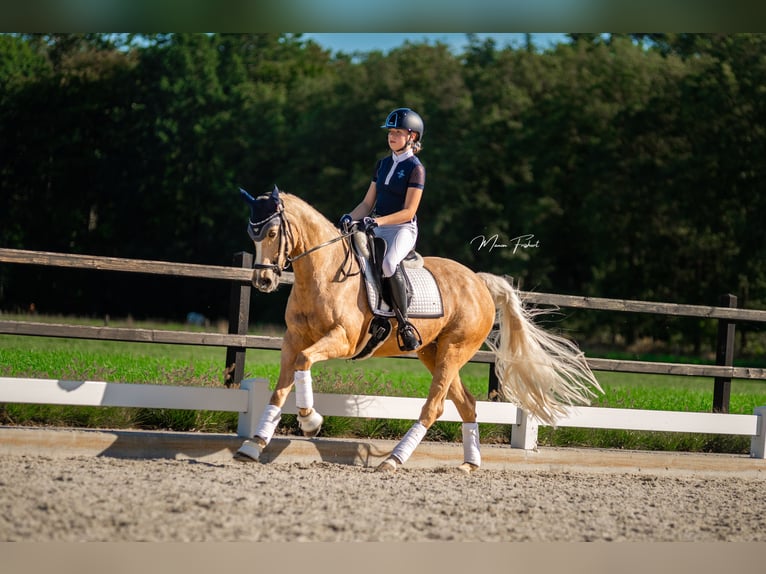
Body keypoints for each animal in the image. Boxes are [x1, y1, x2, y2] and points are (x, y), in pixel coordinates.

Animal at [237, 187, 604, 474]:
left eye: (272, 234)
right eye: (252, 235)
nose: (263, 281)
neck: (322, 272)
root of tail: (479, 281)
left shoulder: (342, 340)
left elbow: (303, 363)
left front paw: (310, 419)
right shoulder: (292, 340)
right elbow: (280, 389)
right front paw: (254, 445)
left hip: (455, 350)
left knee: (435, 407)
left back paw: (394, 460)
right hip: (433, 351)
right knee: (466, 404)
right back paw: (469, 463)